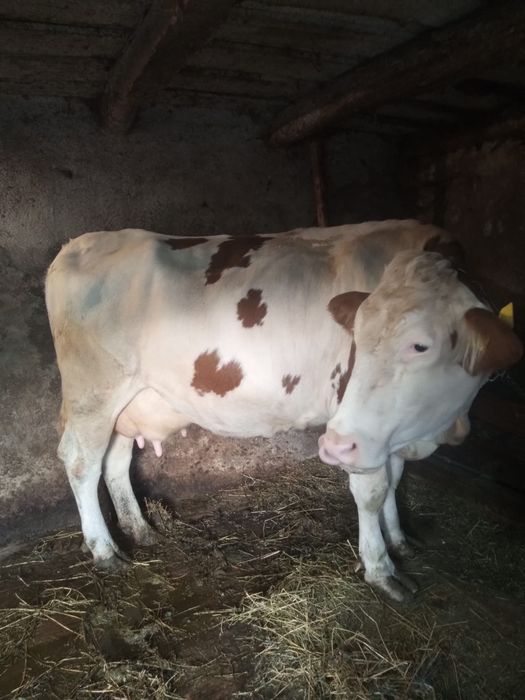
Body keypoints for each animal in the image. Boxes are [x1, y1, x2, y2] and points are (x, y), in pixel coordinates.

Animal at [45, 220, 522, 601]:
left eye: (421, 345)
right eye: (356, 335)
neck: (437, 426)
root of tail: (78, 244)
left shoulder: (387, 429)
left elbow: (394, 479)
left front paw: (400, 540)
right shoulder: (353, 422)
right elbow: (371, 490)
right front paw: (381, 569)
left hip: (132, 400)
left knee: (115, 462)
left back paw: (139, 530)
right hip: (94, 391)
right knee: (81, 462)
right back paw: (105, 550)